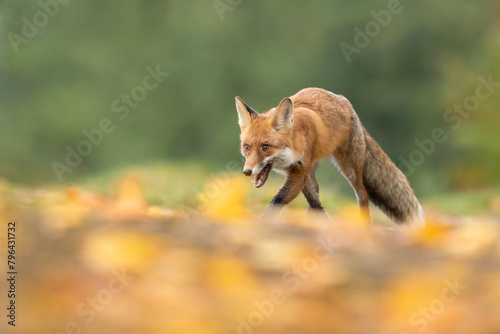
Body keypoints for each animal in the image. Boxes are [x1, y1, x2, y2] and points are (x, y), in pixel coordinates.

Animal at [236, 87, 424, 226]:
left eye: (265, 147)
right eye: (247, 147)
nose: (247, 171)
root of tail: (344, 100)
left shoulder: (299, 171)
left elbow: (278, 199)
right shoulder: (300, 171)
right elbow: (314, 201)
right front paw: (323, 220)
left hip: (349, 168)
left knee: (363, 194)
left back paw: (364, 225)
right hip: (314, 168)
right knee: (317, 191)